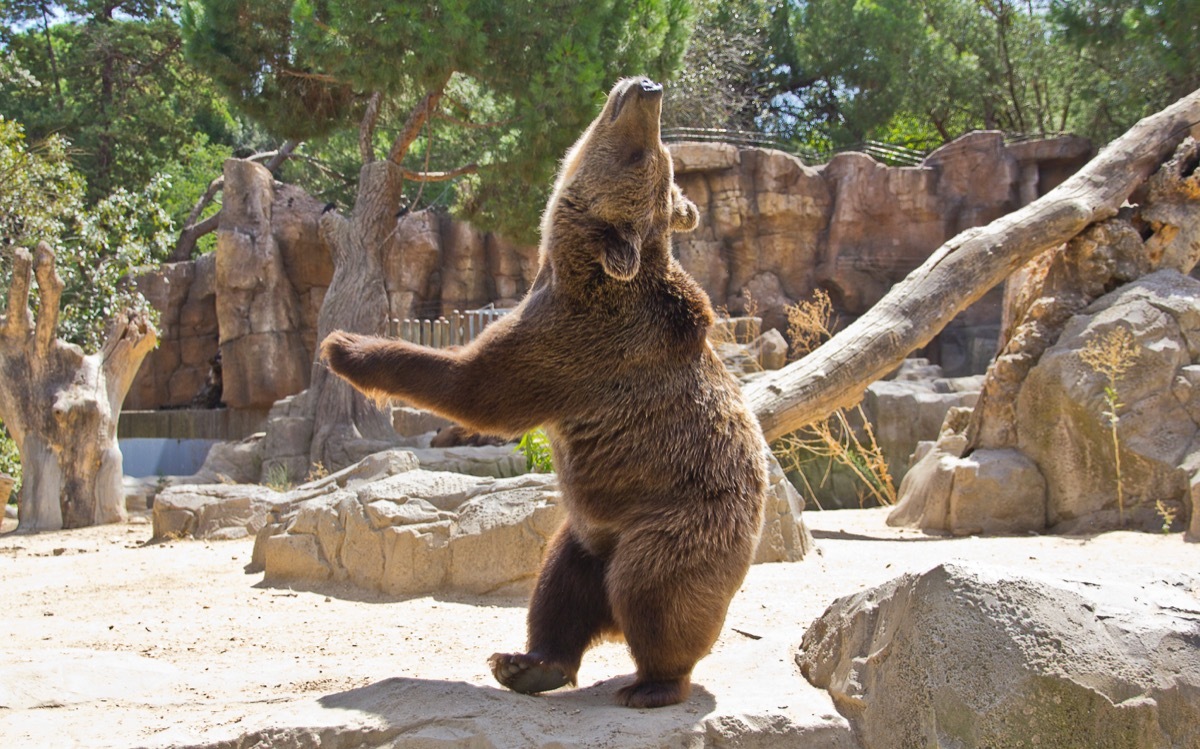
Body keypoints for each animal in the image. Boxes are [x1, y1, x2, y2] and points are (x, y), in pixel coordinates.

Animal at [321, 77, 768, 709]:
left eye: (645, 156)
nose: (648, 88)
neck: (566, 264)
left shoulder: (576, 344)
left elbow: (476, 387)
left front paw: (345, 346)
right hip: (585, 532)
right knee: (557, 587)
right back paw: (527, 663)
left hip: (676, 522)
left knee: (653, 593)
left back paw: (651, 684)